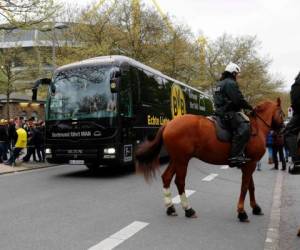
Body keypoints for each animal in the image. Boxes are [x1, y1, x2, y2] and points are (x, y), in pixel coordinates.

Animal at [135, 98, 284, 222]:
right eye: (282, 113)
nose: (282, 130)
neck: (256, 127)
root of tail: (169, 124)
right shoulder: (250, 164)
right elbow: (244, 187)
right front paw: (242, 212)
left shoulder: (248, 164)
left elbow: (250, 187)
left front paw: (255, 208)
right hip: (182, 160)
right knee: (180, 181)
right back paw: (188, 209)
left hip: (176, 159)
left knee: (166, 177)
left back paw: (170, 208)